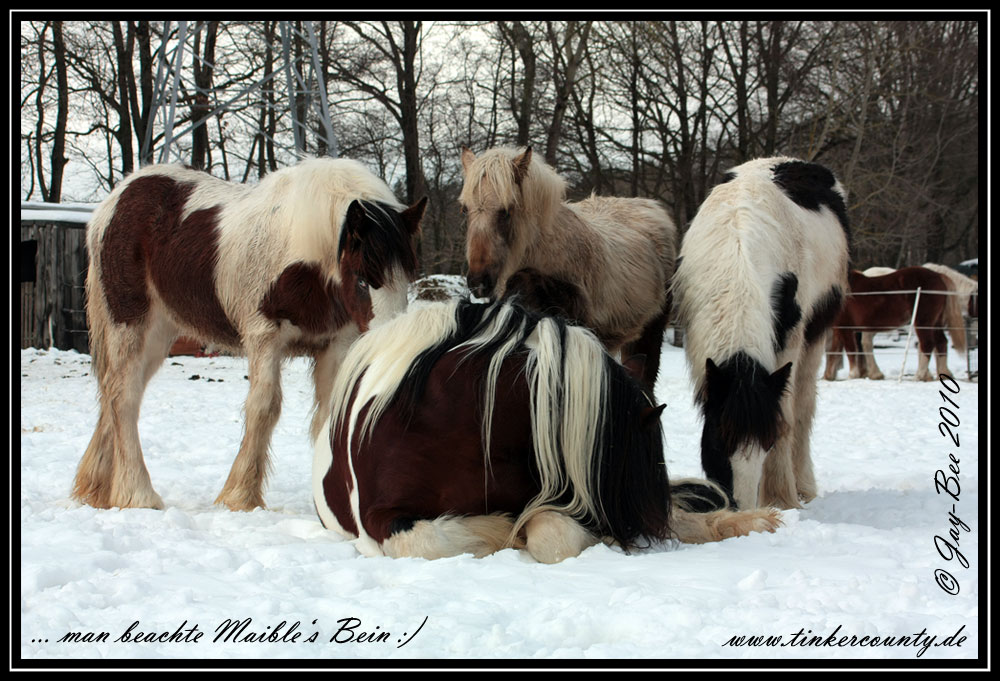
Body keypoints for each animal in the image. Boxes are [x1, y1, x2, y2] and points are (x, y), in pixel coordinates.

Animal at [74, 158, 424, 510]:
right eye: (363, 279)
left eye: (407, 279)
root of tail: (115, 200)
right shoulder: (264, 337)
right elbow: (264, 407)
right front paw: (239, 497)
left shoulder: (336, 345)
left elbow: (331, 415)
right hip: (129, 323)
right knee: (124, 395)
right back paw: (138, 493)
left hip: (160, 333)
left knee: (113, 392)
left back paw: (96, 489)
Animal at [312, 298, 780, 564]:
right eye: (643, 465)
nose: (652, 528)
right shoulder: (378, 518)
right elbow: (423, 542)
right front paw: (499, 530)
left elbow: (552, 537)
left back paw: (748, 522)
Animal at [676, 158, 848, 510]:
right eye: (719, 440)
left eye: (766, 443)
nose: (741, 507)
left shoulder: (788, 345)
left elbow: (786, 419)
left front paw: (782, 499)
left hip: (816, 335)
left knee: (804, 408)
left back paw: (804, 487)